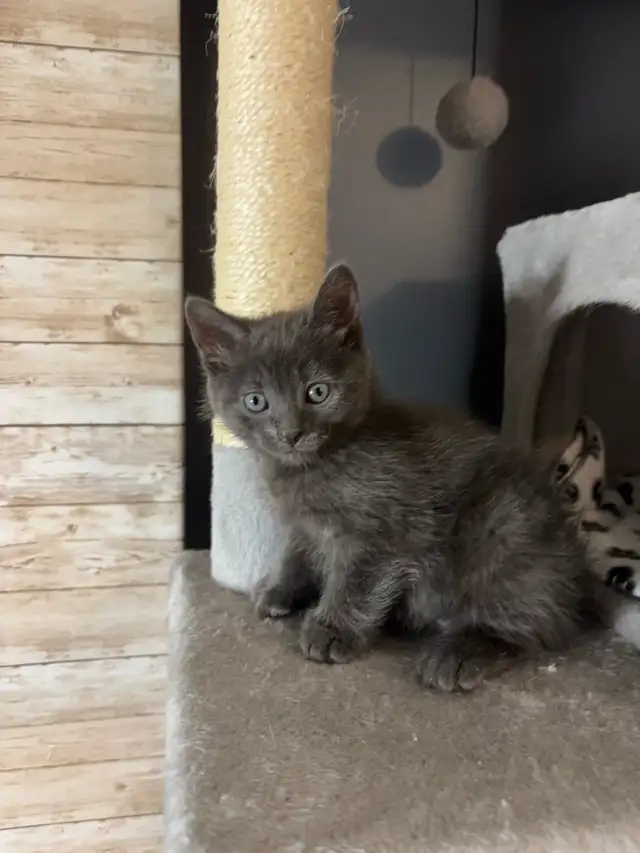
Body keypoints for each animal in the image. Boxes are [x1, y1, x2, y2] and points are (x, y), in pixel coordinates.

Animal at [185, 264, 639, 691]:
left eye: (317, 392)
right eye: (255, 401)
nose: (291, 434)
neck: (315, 466)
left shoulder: (390, 525)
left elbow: (358, 580)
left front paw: (333, 629)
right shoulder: (305, 524)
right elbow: (297, 552)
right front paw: (282, 590)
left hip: (503, 526)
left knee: (534, 625)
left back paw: (458, 652)